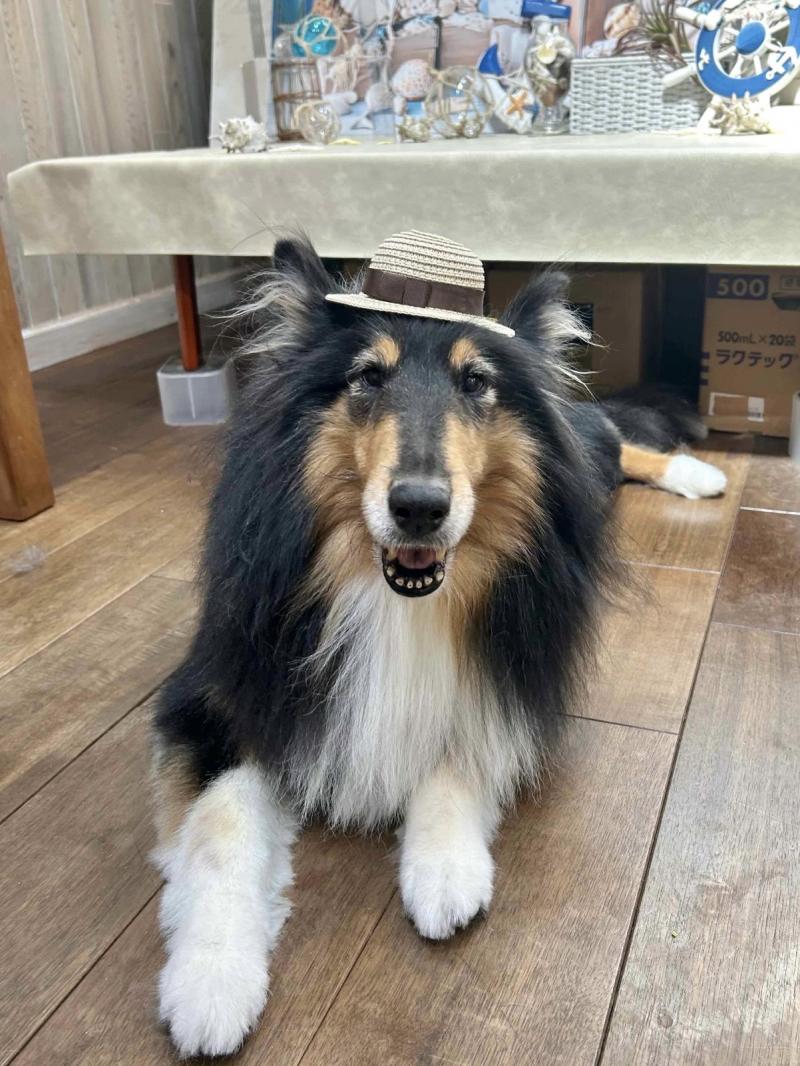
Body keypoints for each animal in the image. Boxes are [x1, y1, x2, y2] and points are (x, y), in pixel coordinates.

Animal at [151, 232, 726, 1057]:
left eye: (477, 382)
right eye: (367, 376)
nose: (420, 508)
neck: (393, 597)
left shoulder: (513, 673)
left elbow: (460, 740)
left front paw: (446, 870)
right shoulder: (215, 694)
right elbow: (220, 829)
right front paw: (210, 982)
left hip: (588, 452)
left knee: (619, 442)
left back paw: (699, 472)